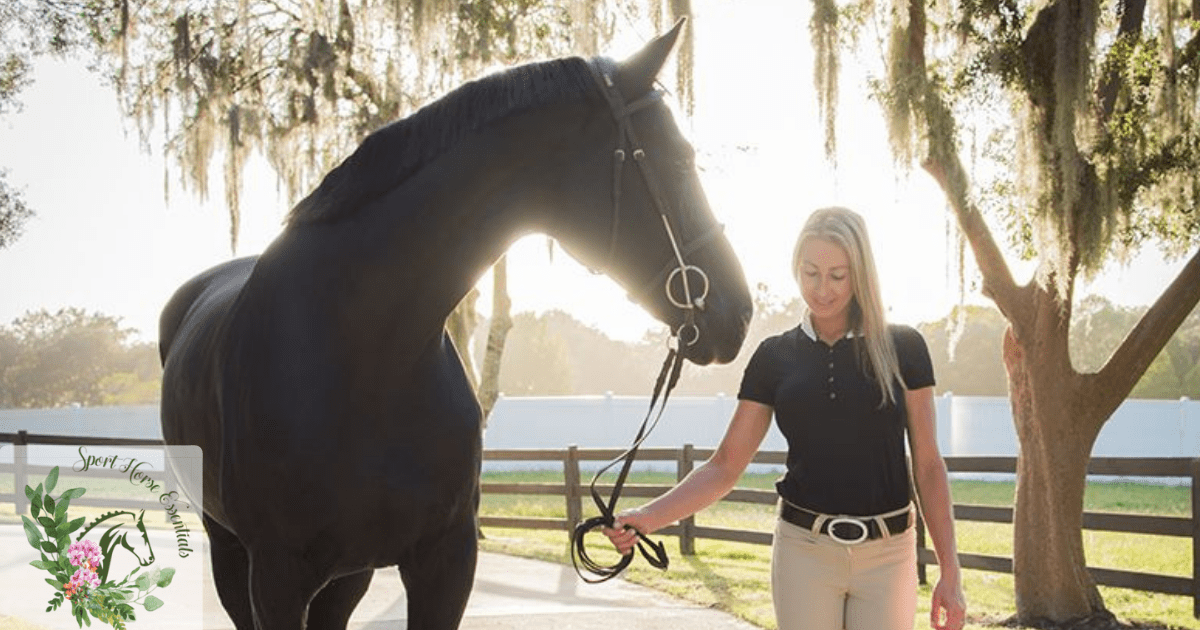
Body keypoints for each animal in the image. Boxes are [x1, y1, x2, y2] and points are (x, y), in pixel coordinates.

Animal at [158, 21, 752, 630]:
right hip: (231, 552)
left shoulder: (445, 561)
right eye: (680, 159)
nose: (738, 311)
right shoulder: (276, 574)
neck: (364, 353)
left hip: (349, 574)